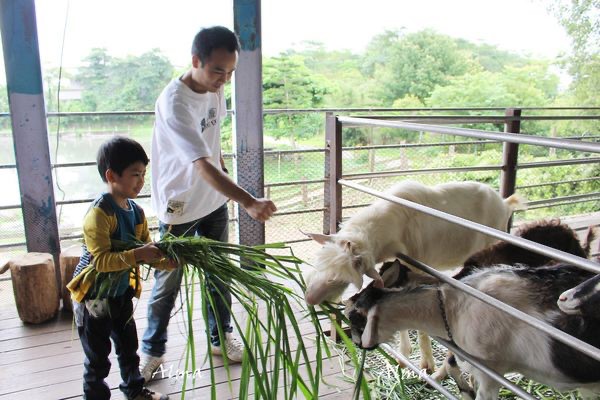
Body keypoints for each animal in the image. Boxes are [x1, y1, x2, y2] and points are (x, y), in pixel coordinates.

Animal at [304, 180, 520, 370]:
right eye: (319, 262)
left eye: (343, 280)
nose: (311, 298)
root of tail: (504, 203)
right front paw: (403, 356)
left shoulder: (418, 264)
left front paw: (426, 364)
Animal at [344, 266, 600, 400]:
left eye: (356, 317)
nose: (357, 344)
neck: (452, 307)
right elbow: (452, 363)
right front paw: (464, 389)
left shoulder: (490, 371)